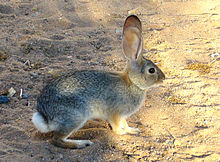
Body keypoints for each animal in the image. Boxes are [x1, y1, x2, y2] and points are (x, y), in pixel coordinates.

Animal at [31, 15, 164, 149]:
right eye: (151, 70)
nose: (163, 78)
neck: (133, 83)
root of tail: (45, 116)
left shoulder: (122, 116)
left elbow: (125, 123)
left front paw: (132, 130)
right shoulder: (115, 113)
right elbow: (116, 127)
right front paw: (122, 132)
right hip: (76, 116)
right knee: (56, 140)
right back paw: (82, 143)